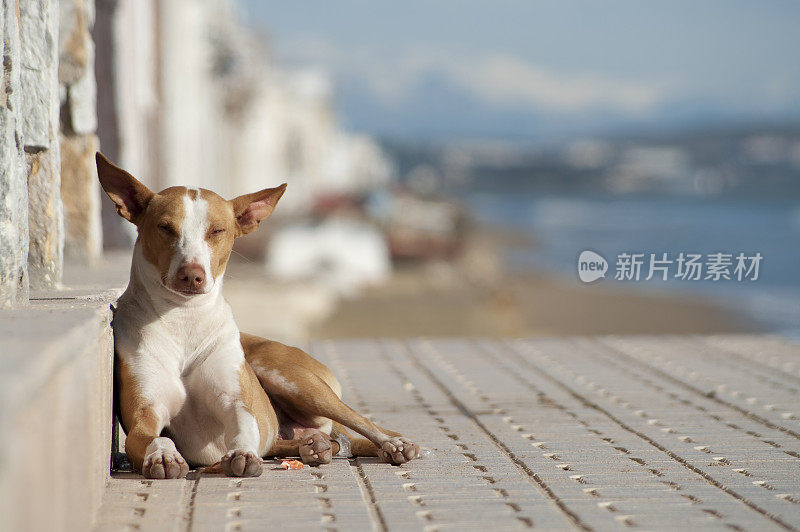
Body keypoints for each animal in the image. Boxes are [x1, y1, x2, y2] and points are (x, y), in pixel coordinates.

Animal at [97, 153, 422, 478]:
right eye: (165, 227)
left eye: (217, 231)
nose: (191, 275)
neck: (184, 319)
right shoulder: (144, 416)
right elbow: (157, 437)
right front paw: (164, 456)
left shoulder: (238, 405)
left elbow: (245, 428)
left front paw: (242, 452)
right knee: (314, 441)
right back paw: (314, 447)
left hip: (288, 376)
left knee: (360, 422)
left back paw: (393, 444)